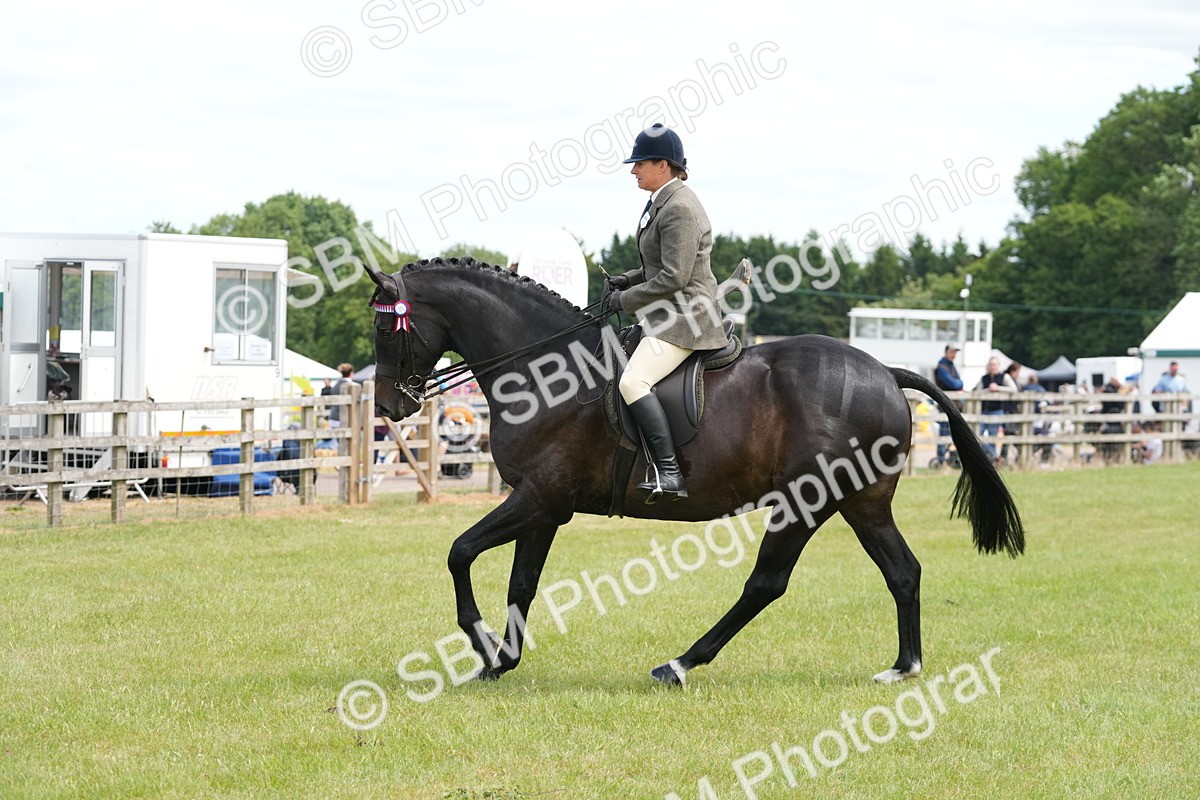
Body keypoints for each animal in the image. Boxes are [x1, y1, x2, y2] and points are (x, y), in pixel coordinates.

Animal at [366, 257, 1024, 686]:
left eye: (383, 327)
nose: (390, 408)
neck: (548, 370)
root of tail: (887, 372)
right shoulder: (544, 504)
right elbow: (520, 583)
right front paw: (502, 659)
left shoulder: (539, 498)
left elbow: (459, 552)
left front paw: (480, 645)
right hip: (862, 502)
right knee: (902, 571)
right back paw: (903, 667)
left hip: (805, 502)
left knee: (766, 583)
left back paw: (680, 663)